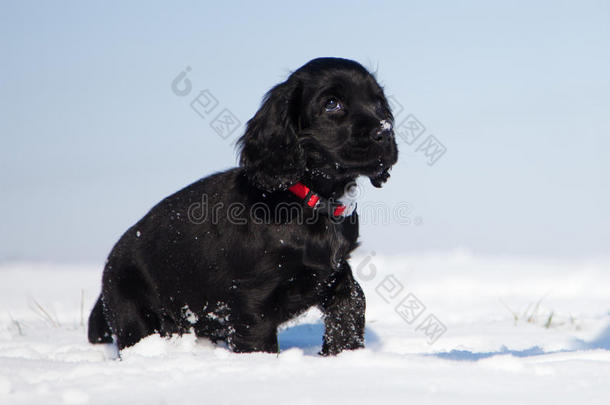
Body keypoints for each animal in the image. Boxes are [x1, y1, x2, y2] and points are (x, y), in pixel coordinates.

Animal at [88, 56, 396, 354]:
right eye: (332, 103)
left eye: (379, 102)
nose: (385, 132)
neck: (308, 200)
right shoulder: (252, 302)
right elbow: (259, 343)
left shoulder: (335, 273)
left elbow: (351, 307)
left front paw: (345, 355)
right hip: (134, 313)